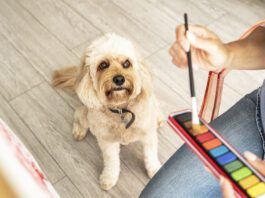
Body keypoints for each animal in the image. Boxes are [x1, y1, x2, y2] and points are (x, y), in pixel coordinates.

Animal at [52, 33, 161, 190]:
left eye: (127, 63)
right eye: (103, 65)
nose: (119, 79)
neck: (121, 110)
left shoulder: (148, 135)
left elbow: (150, 155)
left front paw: (155, 170)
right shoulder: (107, 142)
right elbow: (111, 162)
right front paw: (109, 178)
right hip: (87, 115)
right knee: (79, 113)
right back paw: (79, 130)